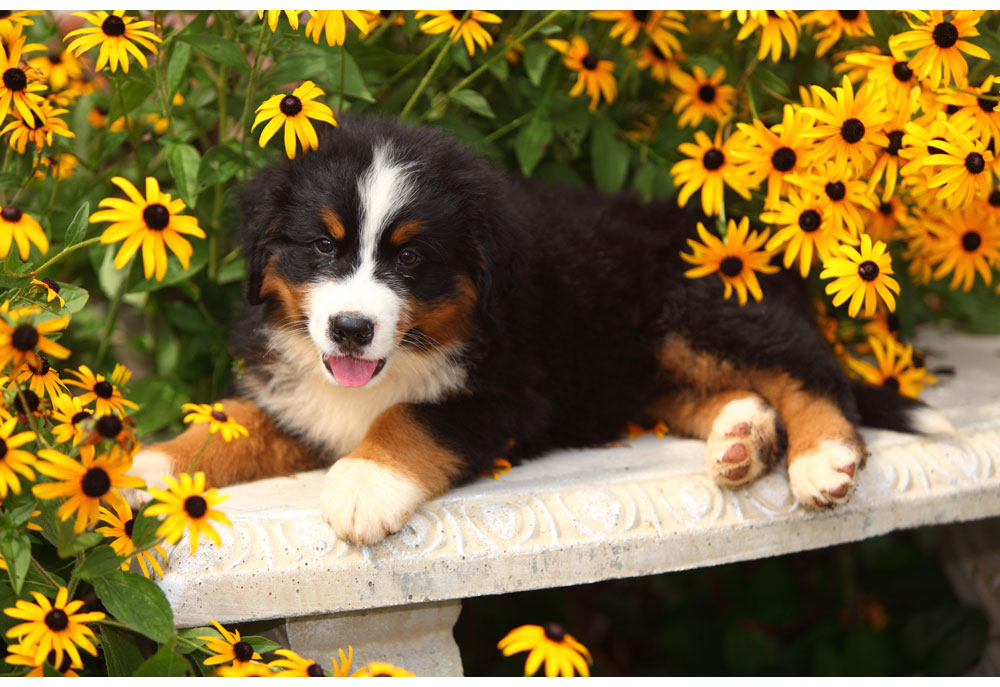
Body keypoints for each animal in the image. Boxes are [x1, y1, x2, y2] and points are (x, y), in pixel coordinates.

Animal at [127, 115, 952, 544]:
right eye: (323, 247)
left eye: (412, 258)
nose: (352, 329)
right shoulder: (300, 393)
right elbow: (230, 421)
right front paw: (149, 467)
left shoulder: (508, 394)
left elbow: (408, 419)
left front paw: (363, 482)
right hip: (635, 366)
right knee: (718, 392)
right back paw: (742, 438)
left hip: (698, 311)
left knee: (810, 371)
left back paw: (822, 458)